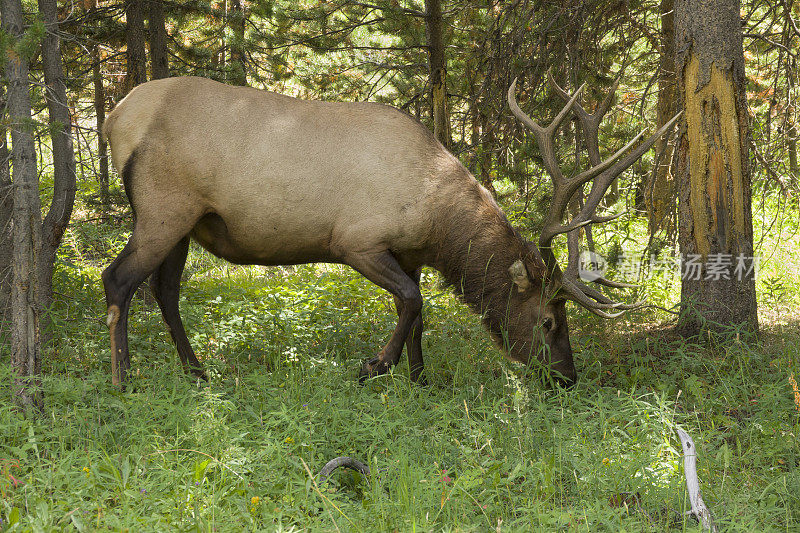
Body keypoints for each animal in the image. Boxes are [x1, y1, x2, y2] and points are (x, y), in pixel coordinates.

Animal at [98, 74, 676, 386]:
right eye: (550, 320)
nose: (567, 378)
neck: (436, 218)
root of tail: (115, 118)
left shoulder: (411, 254)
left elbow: (416, 310)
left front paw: (420, 377)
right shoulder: (356, 240)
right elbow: (413, 301)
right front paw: (376, 366)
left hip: (185, 223)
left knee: (163, 290)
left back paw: (196, 371)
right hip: (163, 207)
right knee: (117, 279)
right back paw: (124, 379)